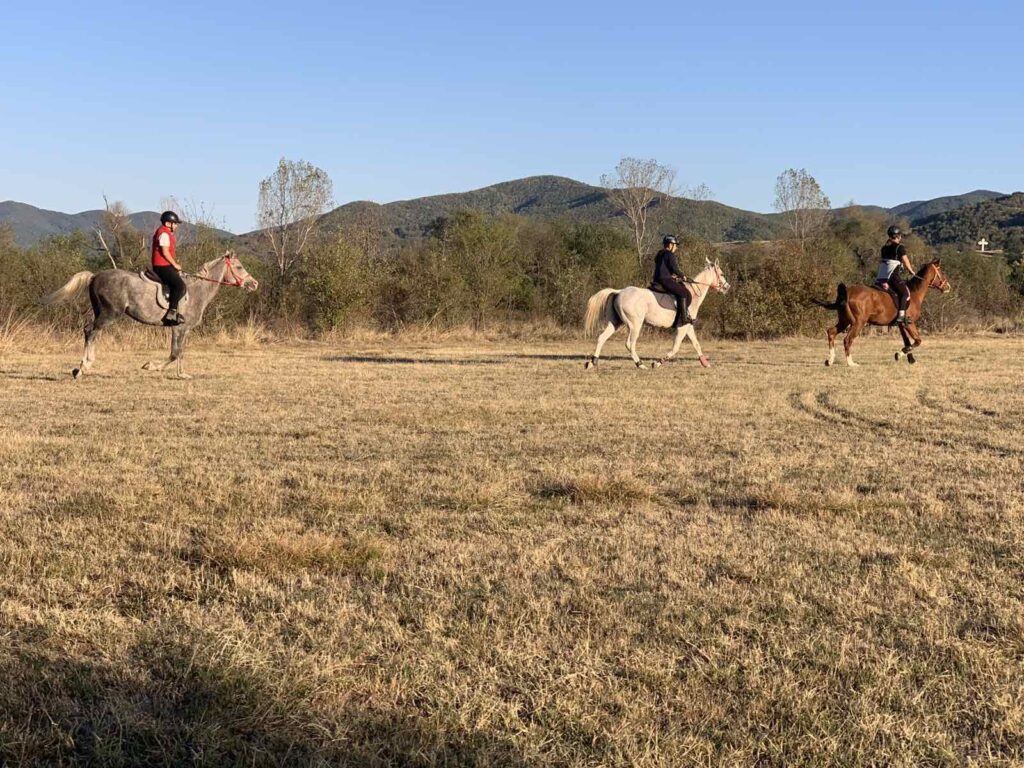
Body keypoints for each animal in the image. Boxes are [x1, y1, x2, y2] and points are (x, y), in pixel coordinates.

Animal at [40, 251, 259, 380]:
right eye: (239, 267)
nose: (254, 284)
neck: (198, 291)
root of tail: (95, 276)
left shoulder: (185, 330)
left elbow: (181, 352)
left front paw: (182, 374)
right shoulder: (179, 327)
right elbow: (174, 353)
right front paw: (151, 366)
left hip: (102, 312)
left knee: (92, 333)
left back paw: (85, 366)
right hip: (110, 314)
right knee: (89, 331)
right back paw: (82, 368)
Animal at [583, 259, 731, 370]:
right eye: (722, 274)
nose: (727, 287)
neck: (694, 294)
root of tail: (619, 292)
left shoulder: (688, 326)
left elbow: (696, 344)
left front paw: (705, 363)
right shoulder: (682, 327)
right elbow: (675, 347)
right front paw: (657, 363)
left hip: (615, 323)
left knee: (602, 338)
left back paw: (592, 362)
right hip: (635, 325)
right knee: (630, 344)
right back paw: (640, 364)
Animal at [811, 259, 951, 367]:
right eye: (941, 272)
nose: (947, 287)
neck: (914, 293)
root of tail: (848, 292)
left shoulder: (901, 324)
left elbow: (907, 342)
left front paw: (910, 359)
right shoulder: (910, 323)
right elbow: (917, 341)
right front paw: (899, 354)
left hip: (844, 321)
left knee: (831, 332)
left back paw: (830, 361)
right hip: (858, 323)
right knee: (847, 339)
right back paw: (851, 363)